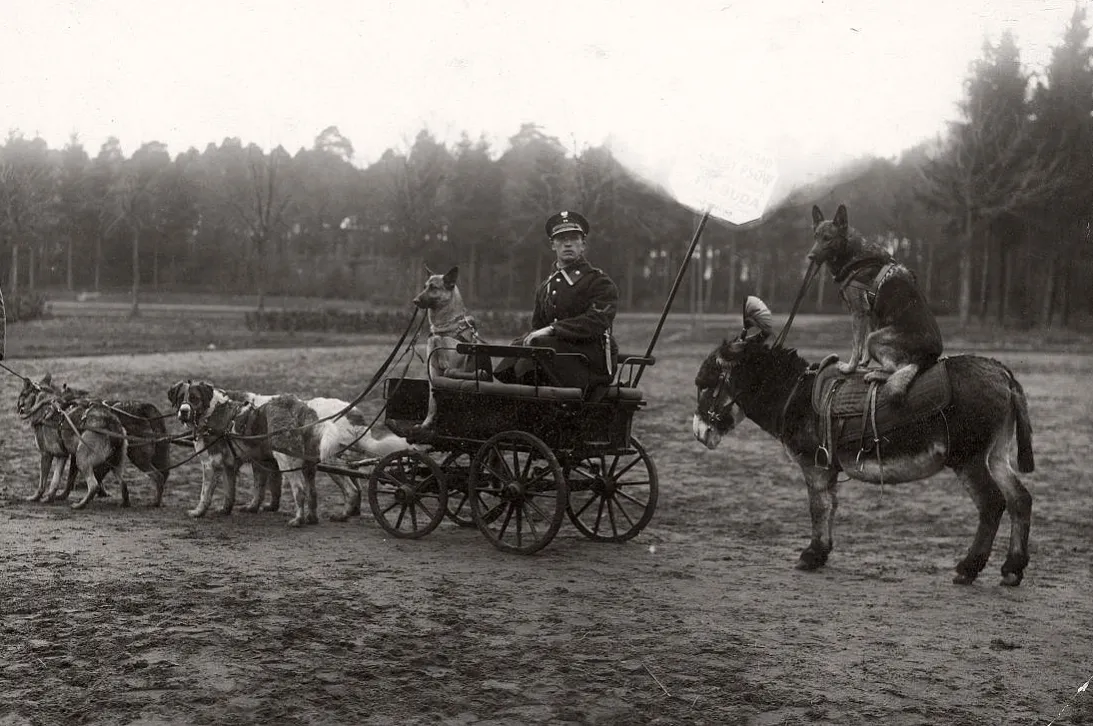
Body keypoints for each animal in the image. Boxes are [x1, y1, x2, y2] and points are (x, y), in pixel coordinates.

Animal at [410, 267, 489, 430]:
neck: (443, 330)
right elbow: (432, 401)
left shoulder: (453, 370)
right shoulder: (433, 373)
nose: (415, 301)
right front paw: (427, 423)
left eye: (433, 287)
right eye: (424, 287)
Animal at [808, 204, 944, 402]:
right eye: (816, 236)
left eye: (827, 238)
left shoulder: (858, 313)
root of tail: (928, 357)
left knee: (895, 369)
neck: (853, 255)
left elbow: (856, 345)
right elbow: (862, 345)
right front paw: (863, 363)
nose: (810, 256)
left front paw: (850, 368)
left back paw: (876, 374)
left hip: (877, 338)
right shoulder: (870, 315)